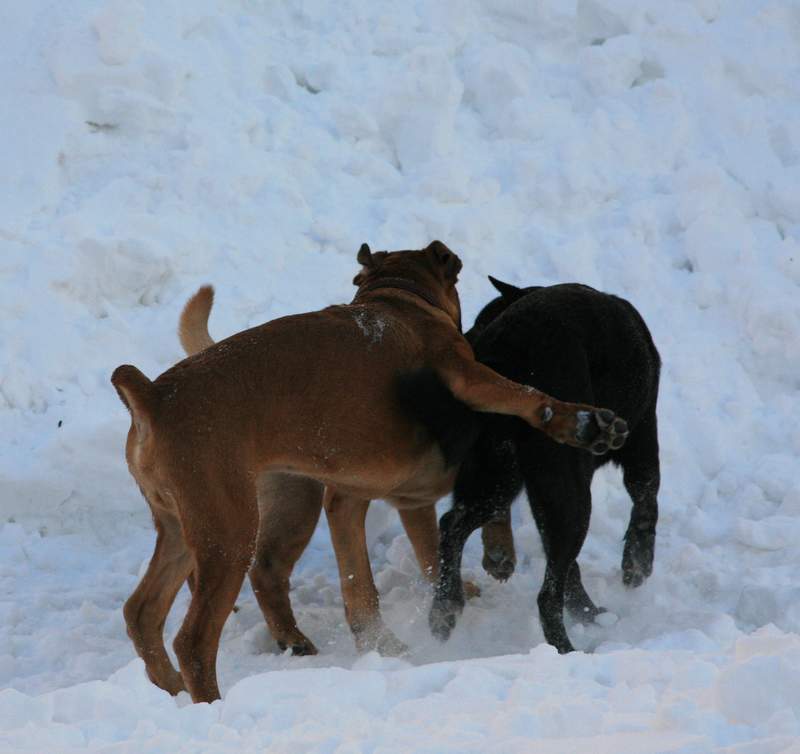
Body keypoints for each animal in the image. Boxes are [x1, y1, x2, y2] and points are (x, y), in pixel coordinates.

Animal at [112, 242, 629, 702]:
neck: (398, 296)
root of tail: (152, 398)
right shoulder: (469, 376)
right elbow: (528, 398)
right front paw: (581, 422)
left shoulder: (380, 499)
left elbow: (421, 554)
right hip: (229, 535)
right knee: (194, 639)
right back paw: (211, 703)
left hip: (186, 529)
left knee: (143, 612)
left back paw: (173, 688)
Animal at [426, 277, 661, 654]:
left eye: (478, 319)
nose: (467, 342)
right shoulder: (643, 433)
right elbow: (646, 497)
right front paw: (637, 564)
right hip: (566, 490)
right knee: (546, 595)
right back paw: (566, 649)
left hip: (497, 478)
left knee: (452, 525)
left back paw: (445, 608)